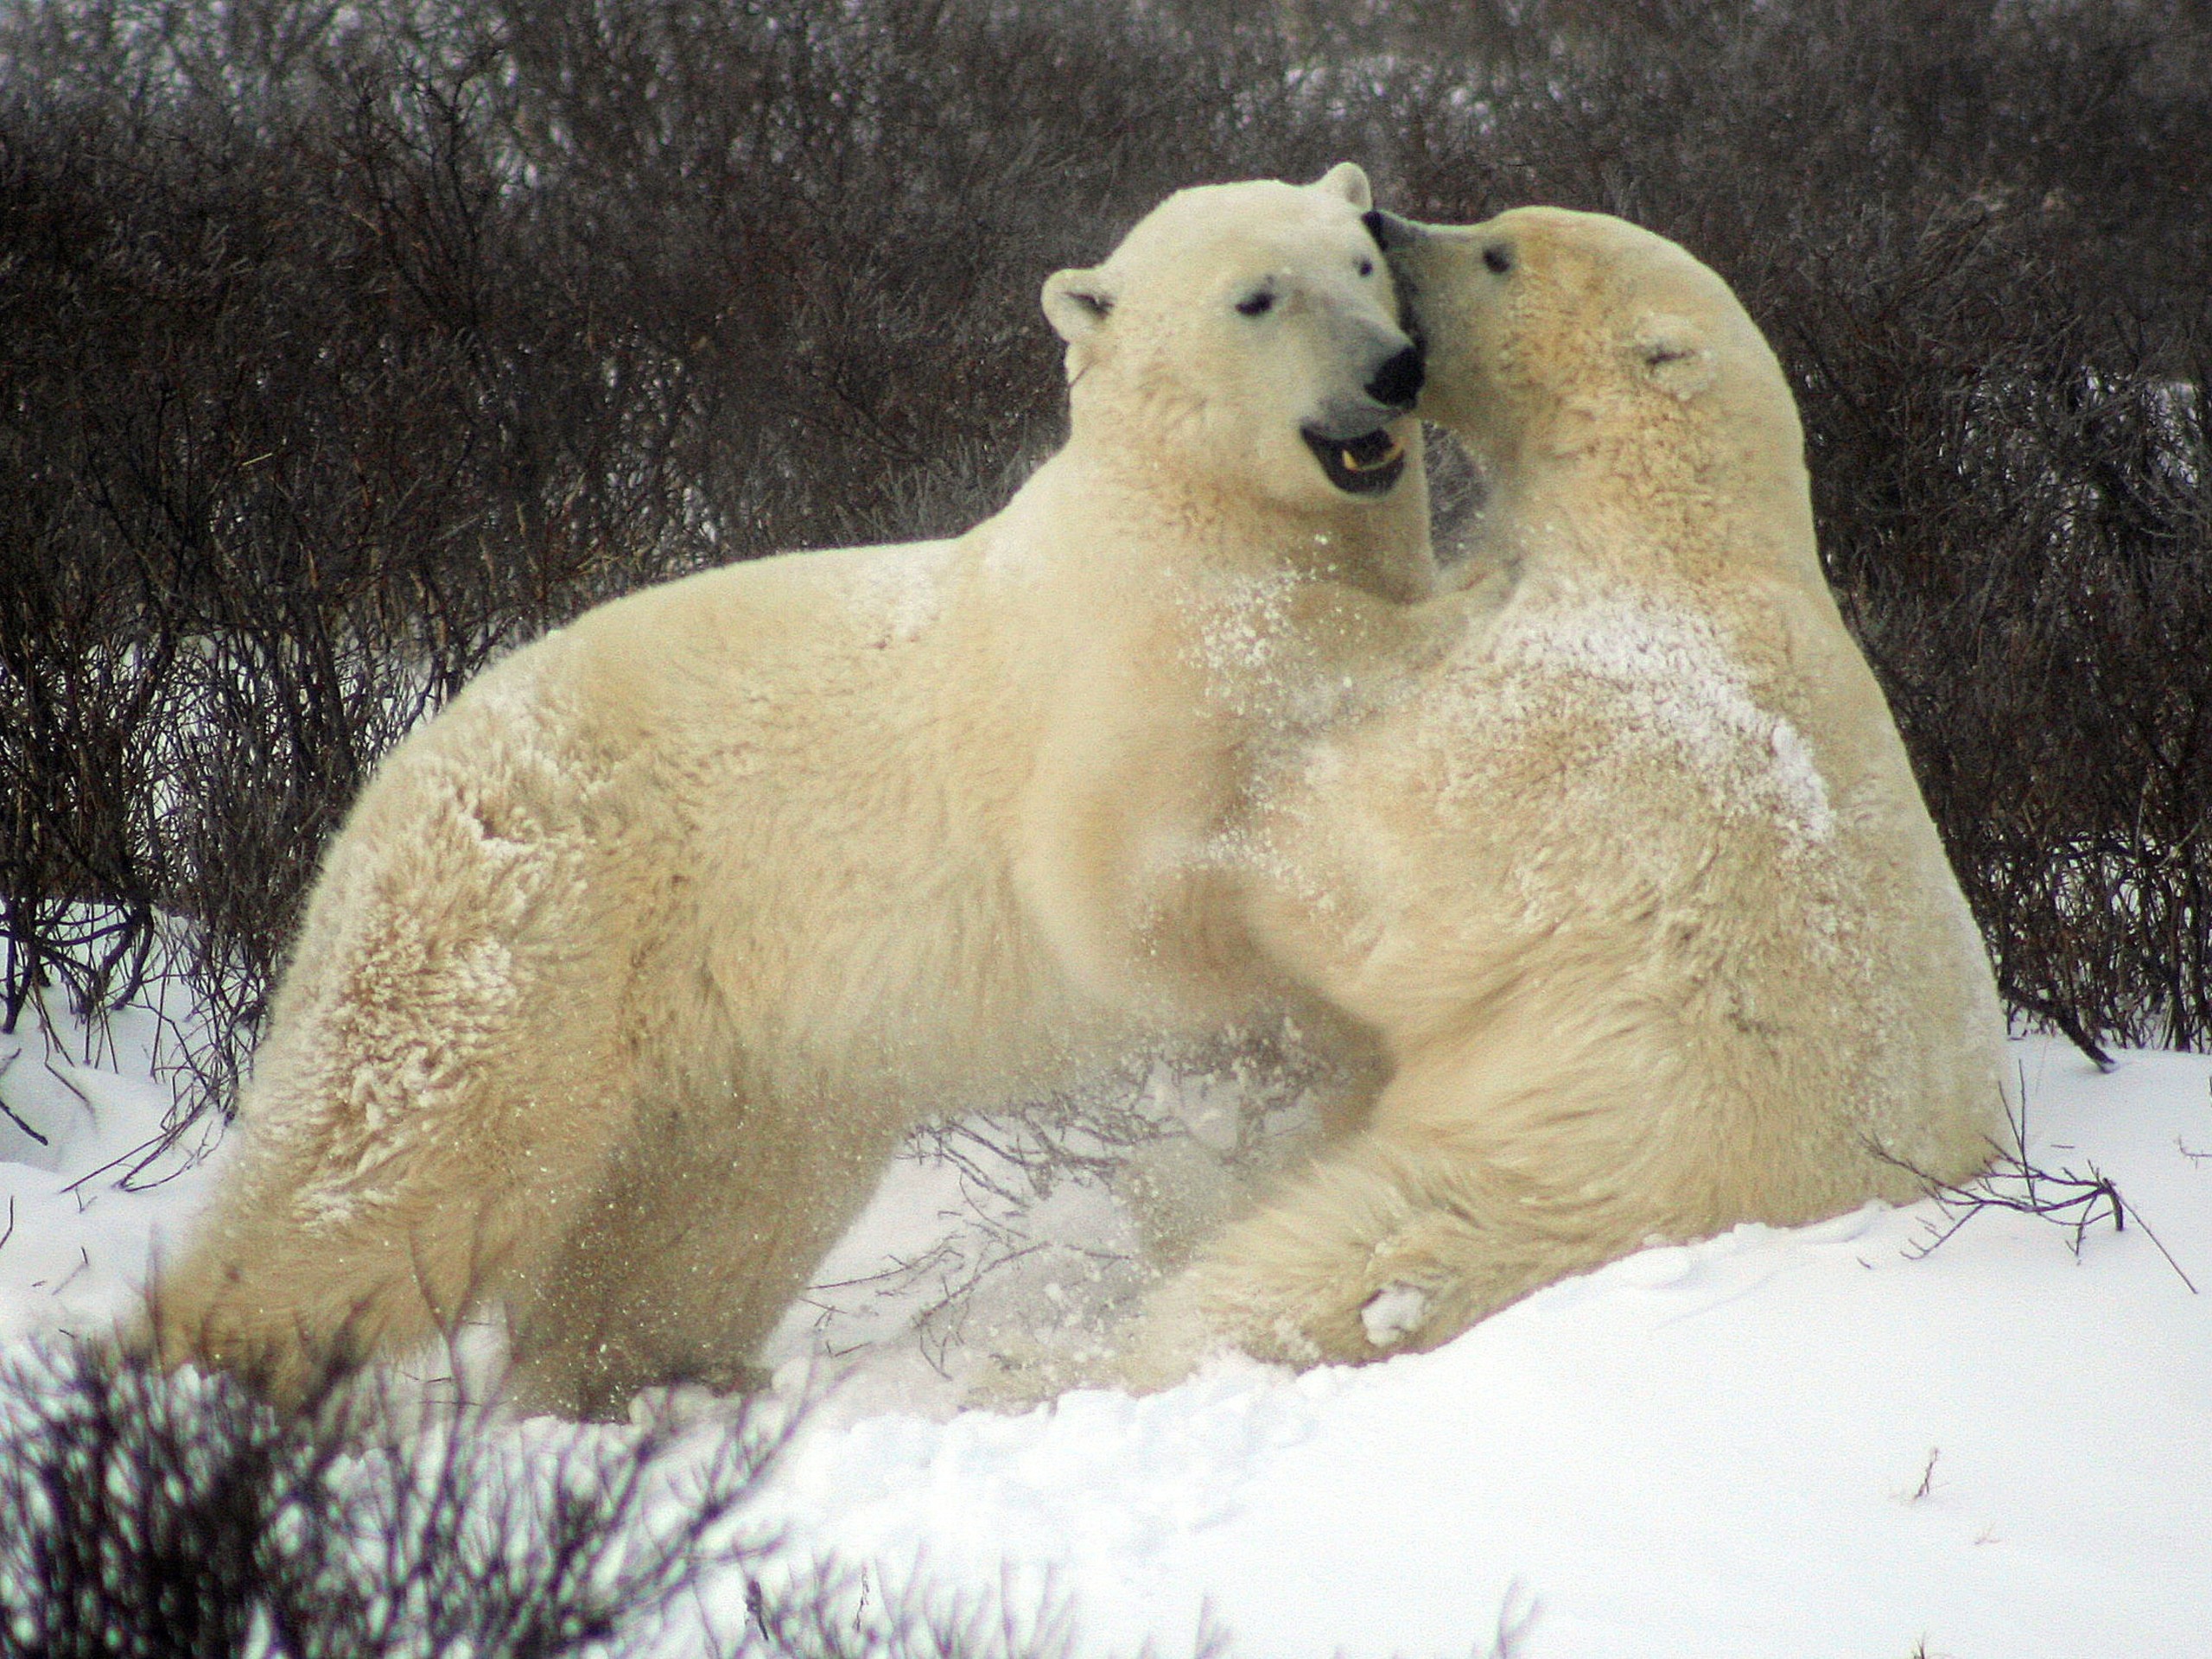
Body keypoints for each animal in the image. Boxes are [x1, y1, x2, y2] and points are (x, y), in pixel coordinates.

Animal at [163, 166, 1459, 1415]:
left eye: (1361, 261)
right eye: (1257, 296)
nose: (1393, 370)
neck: (1187, 510)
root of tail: (394, 773)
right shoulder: (1121, 665)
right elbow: (1122, 892)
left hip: (744, 1048)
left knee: (703, 1220)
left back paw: (640, 1376)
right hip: (530, 923)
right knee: (397, 1164)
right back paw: (205, 1371)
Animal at [1123, 200, 2025, 1380]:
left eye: (1498, 250)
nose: (1380, 217)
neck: (1669, 537)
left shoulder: (1575, 723)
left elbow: (1379, 878)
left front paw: (1237, 811)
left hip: (1542, 1179)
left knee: (1308, 1267)